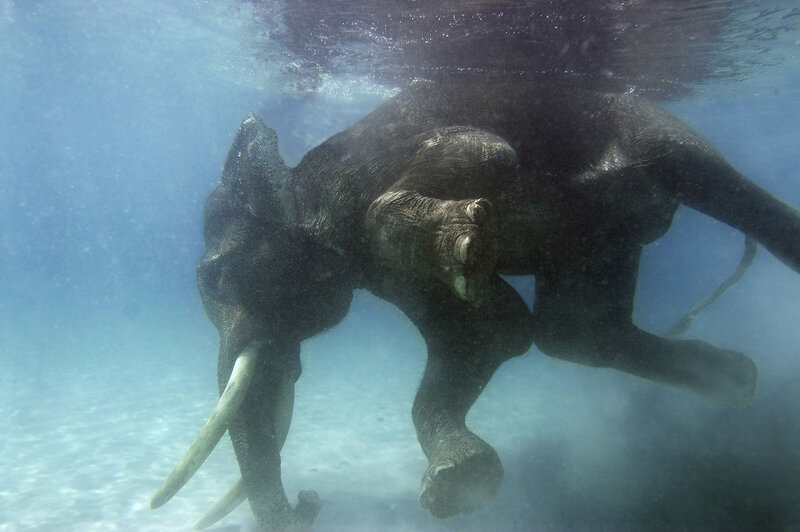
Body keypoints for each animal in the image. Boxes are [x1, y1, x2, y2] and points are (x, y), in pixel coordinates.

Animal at [150, 80, 800, 530]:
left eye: (217, 277)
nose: (312, 502)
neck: (302, 180)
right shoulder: (389, 275)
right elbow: (492, 334)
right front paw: (461, 485)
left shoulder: (384, 170)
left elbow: (488, 152)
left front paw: (469, 244)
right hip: (600, 243)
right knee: (575, 330)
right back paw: (736, 382)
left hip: (650, 125)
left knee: (723, 187)